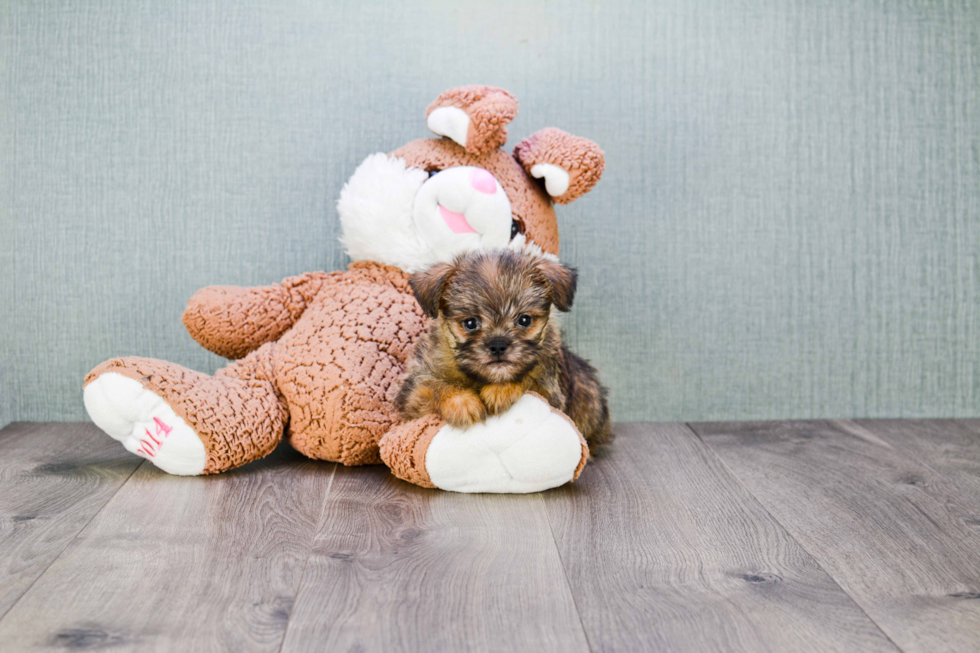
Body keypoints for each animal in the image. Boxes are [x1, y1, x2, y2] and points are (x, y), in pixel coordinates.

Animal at [396, 250, 612, 448]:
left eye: (524, 320)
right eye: (470, 323)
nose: (498, 345)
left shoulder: (552, 394)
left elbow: (529, 379)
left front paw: (501, 389)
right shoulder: (411, 393)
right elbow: (433, 386)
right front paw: (462, 402)